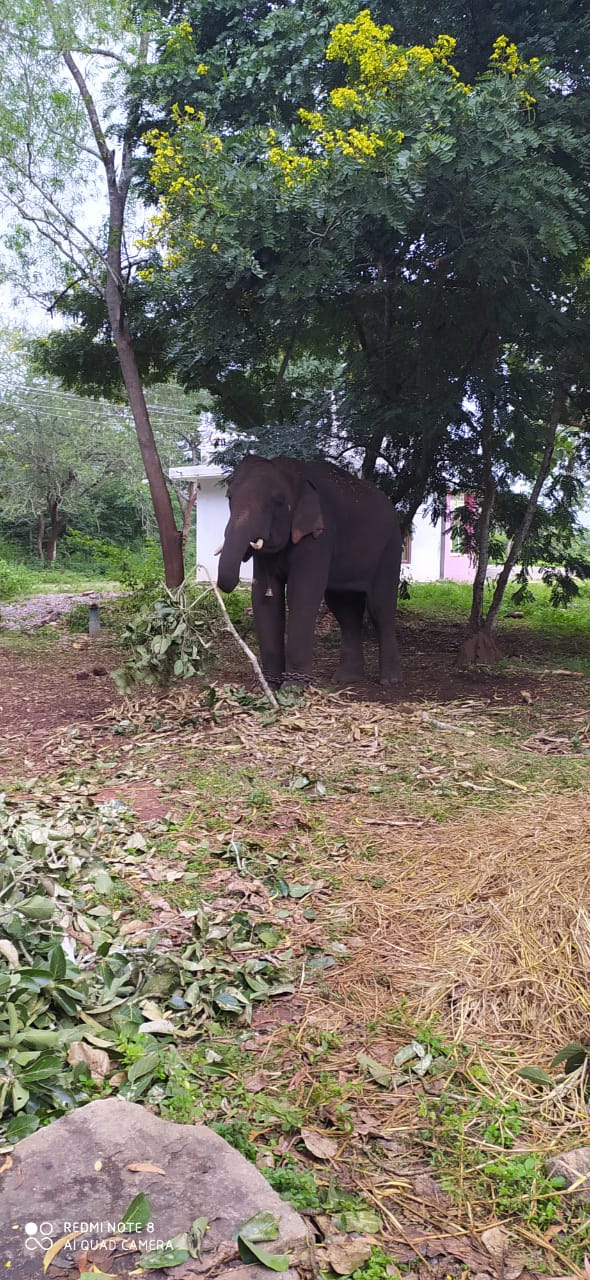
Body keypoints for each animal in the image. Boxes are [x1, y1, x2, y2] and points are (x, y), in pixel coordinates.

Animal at [218, 453, 401, 686]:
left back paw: (390, 680)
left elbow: (302, 592)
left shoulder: (320, 536)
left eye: (277, 501)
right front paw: (269, 685)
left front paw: (293, 687)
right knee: (346, 609)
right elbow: (264, 597)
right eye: (229, 498)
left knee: (380, 607)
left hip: (390, 547)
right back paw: (346, 679)